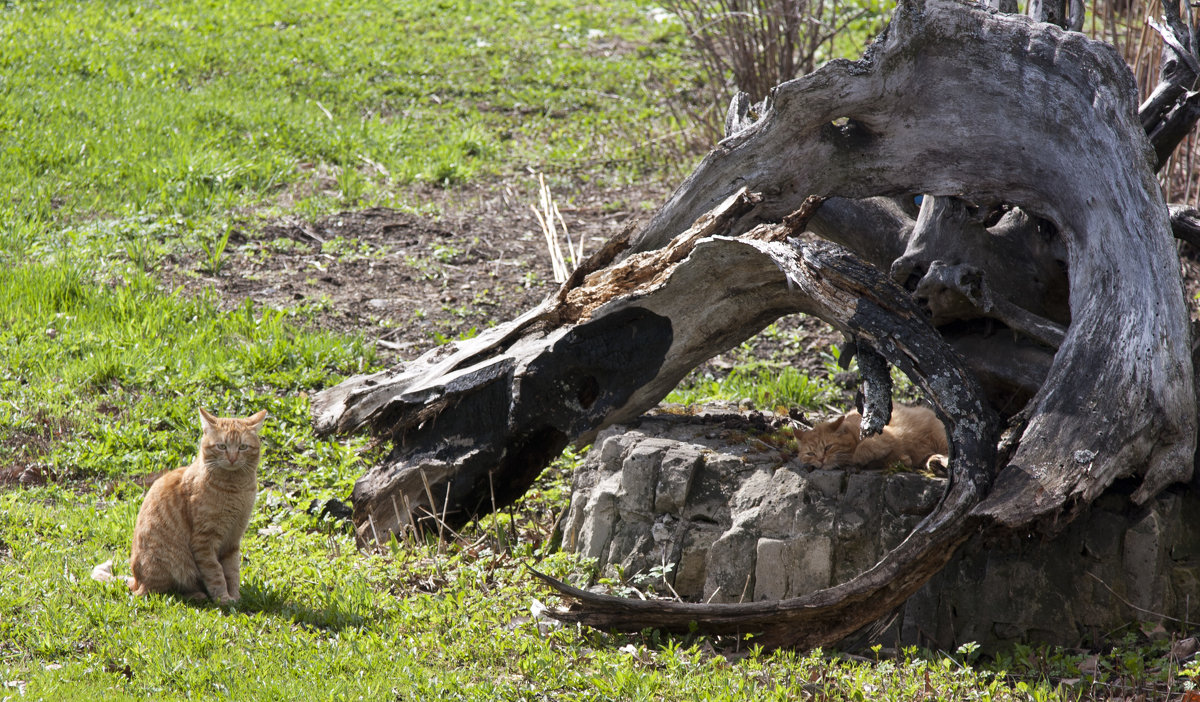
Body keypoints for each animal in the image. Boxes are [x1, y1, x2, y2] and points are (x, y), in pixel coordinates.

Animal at [91, 408, 267, 604]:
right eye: (222, 446)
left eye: (242, 447)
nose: (232, 458)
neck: (235, 490)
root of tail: (136, 581)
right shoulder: (204, 541)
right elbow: (216, 573)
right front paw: (224, 599)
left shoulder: (233, 540)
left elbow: (232, 572)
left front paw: (235, 597)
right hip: (171, 565)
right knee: (159, 592)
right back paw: (197, 595)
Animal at [792, 403, 950, 468]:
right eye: (810, 454)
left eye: (828, 447)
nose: (821, 459)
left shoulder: (886, 434)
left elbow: (863, 447)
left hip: (940, 438)